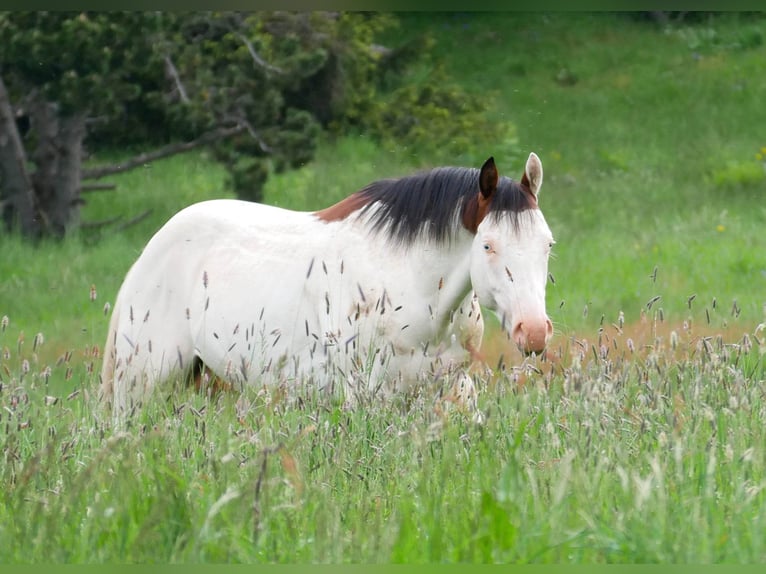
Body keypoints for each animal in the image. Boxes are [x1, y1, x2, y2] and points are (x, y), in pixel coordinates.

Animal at [100, 154, 560, 418]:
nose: (534, 332)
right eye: (488, 244)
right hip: (140, 386)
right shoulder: (362, 396)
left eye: (548, 244)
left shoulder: (451, 388)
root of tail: (150, 252)